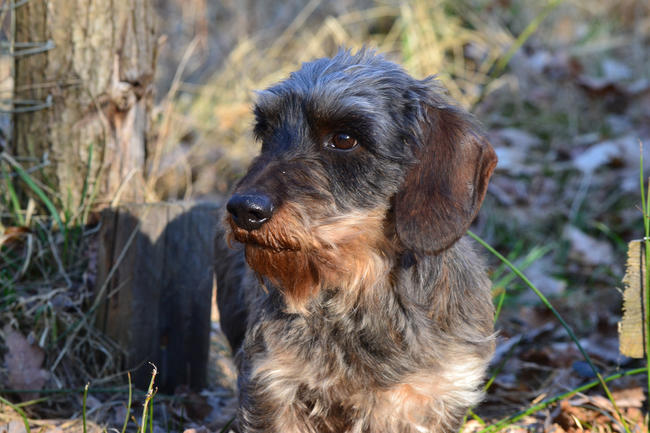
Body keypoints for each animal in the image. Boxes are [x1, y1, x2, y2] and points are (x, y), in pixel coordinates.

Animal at [216, 49, 496, 432]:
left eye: (345, 138)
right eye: (268, 131)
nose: (244, 210)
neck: (360, 290)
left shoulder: (435, 396)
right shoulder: (273, 385)